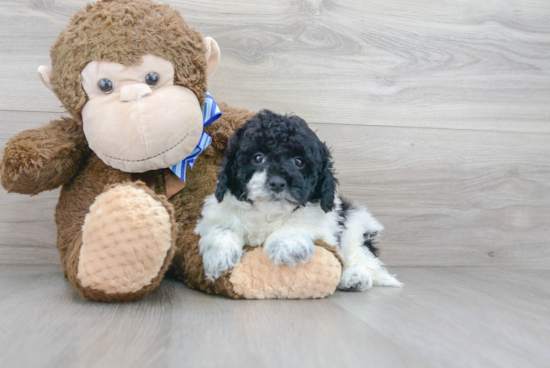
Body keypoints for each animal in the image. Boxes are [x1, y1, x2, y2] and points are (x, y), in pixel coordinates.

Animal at [196, 110, 404, 290]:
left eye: (298, 161)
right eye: (258, 157)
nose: (278, 182)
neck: (269, 213)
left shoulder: (324, 223)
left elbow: (299, 223)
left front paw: (287, 245)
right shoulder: (216, 212)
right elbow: (223, 227)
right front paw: (219, 256)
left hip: (355, 224)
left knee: (361, 257)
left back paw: (355, 278)